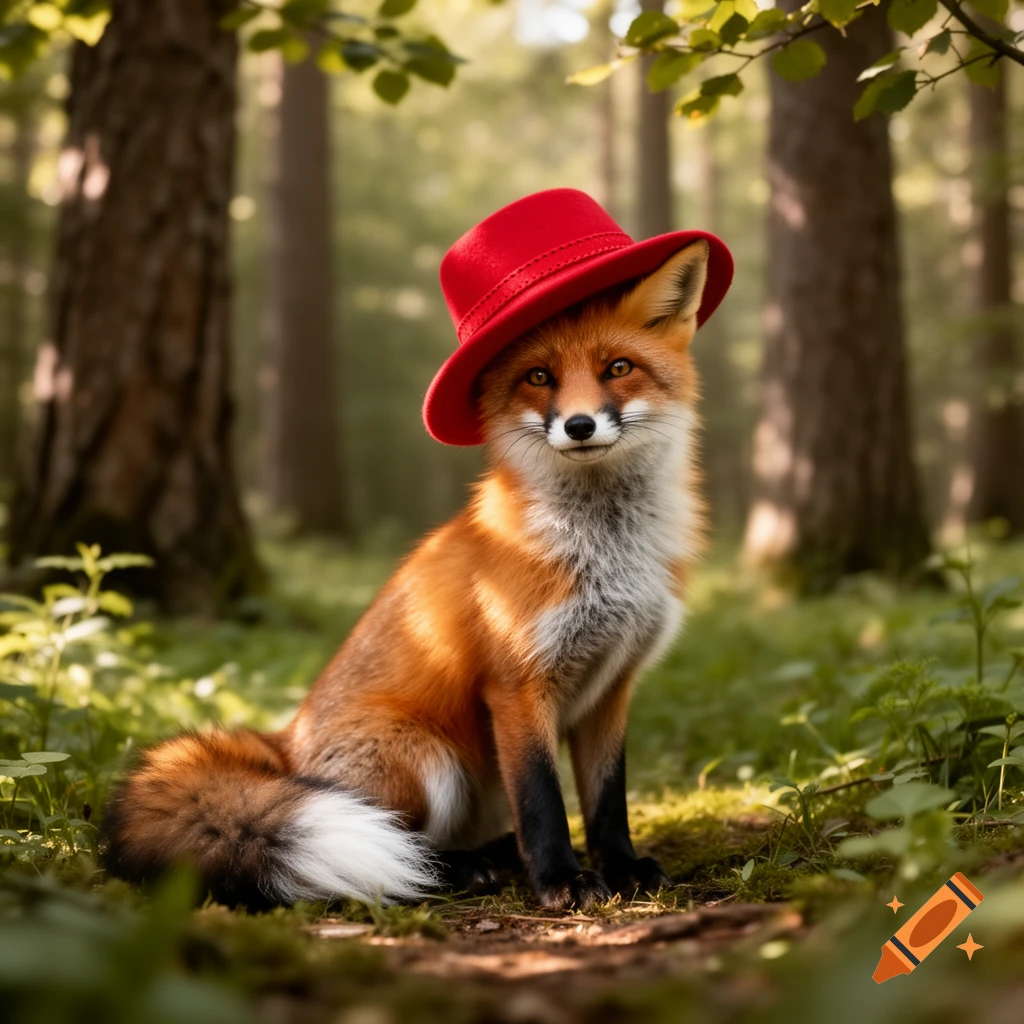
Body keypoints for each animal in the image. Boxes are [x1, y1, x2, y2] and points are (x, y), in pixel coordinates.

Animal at [102, 237, 711, 911]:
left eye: (619, 368)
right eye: (539, 377)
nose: (578, 425)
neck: (605, 555)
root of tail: (286, 745)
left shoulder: (611, 686)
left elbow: (607, 802)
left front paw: (623, 868)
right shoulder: (518, 687)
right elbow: (543, 803)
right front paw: (560, 881)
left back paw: (494, 856)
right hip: (428, 760)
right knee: (398, 847)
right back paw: (462, 869)